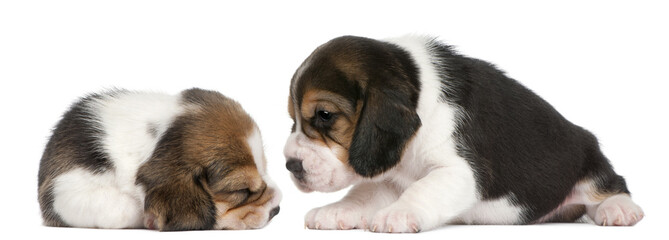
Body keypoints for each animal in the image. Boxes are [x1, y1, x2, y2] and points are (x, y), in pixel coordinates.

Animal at [282, 35, 640, 232]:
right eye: (292, 119)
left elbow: (423, 188)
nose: (290, 166)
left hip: (589, 157)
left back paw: (619, 209)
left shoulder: (462, 171)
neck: (418, 88)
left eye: (325, 116)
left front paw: (397, 215)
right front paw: (336, 211)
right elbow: (364, 193)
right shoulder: (393, 176)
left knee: (612, 185)